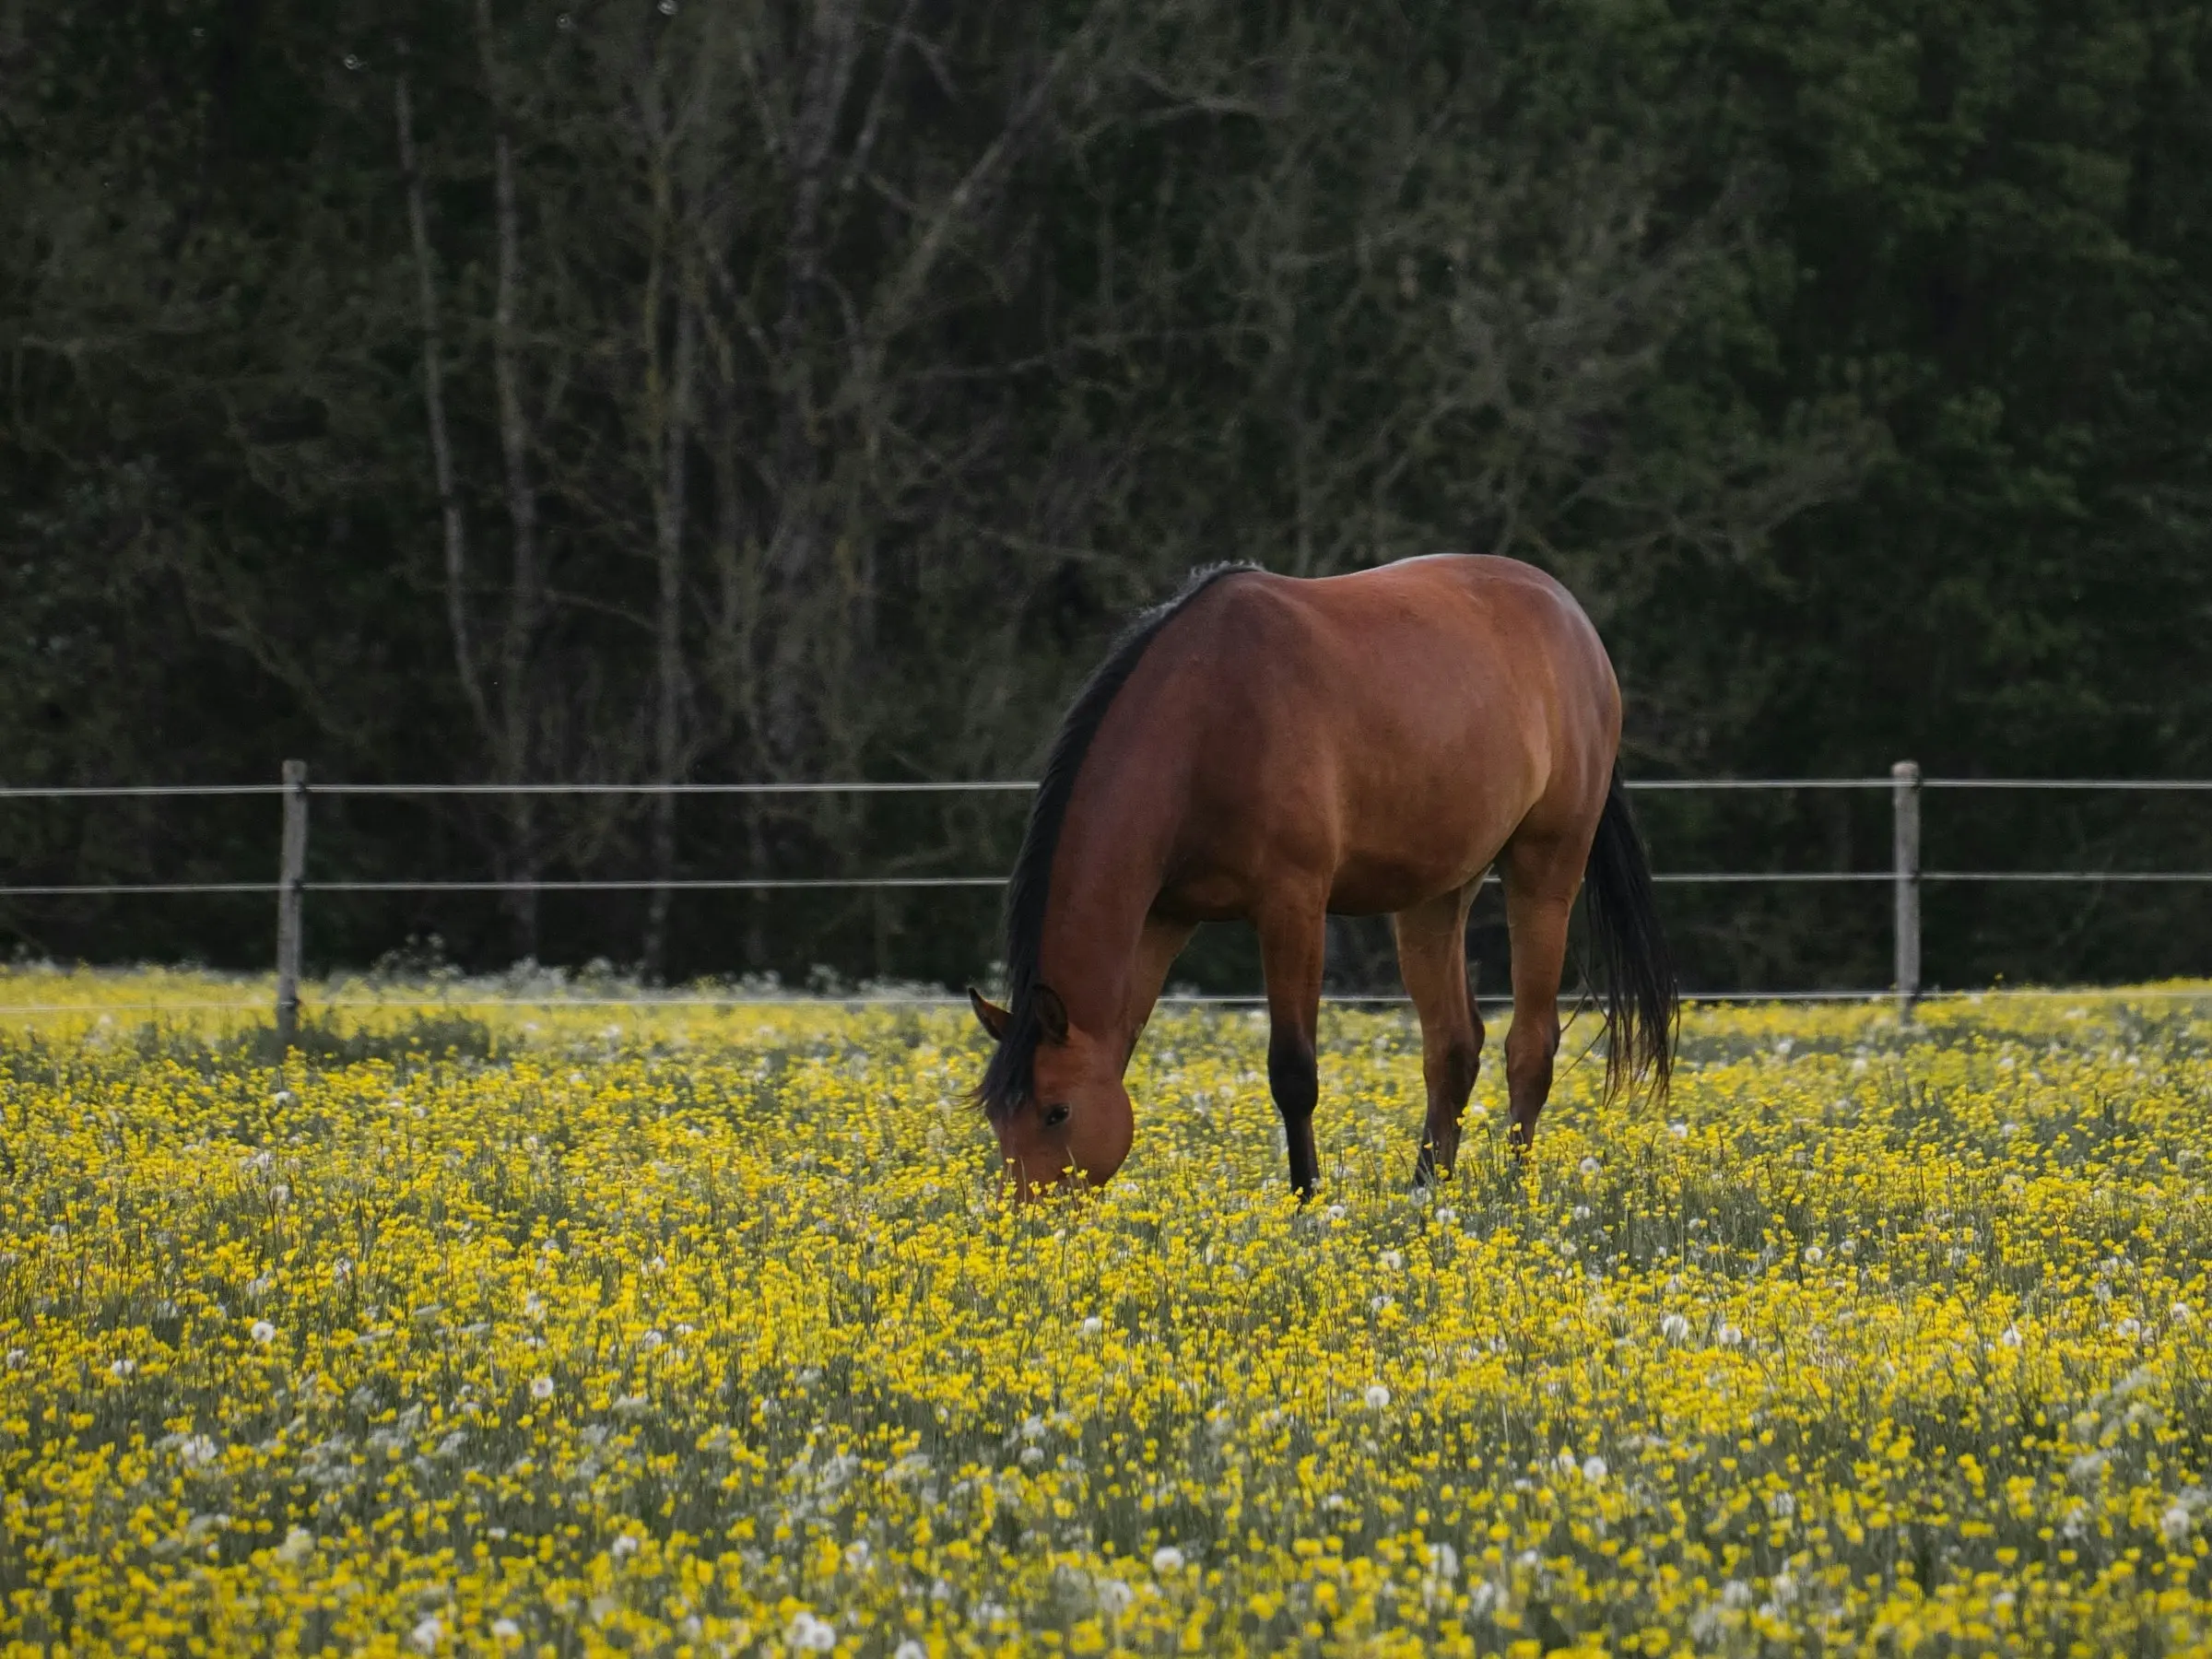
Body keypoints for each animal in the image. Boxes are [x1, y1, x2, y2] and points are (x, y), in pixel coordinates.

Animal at [969, 555, 1672, 1194]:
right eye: (998, 1119)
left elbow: (1293, 1072)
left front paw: (1306, 1199)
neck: (1207, 718)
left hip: (1544, 870)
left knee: (1530, 1044)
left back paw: (1514, 1191)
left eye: (1057, 1111)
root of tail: (1572, 621)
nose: (1024, 1222)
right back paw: (1427, 1192)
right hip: (1437, 894)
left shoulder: (1293, 906)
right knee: (1453, 1046)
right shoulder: (1164, 919)